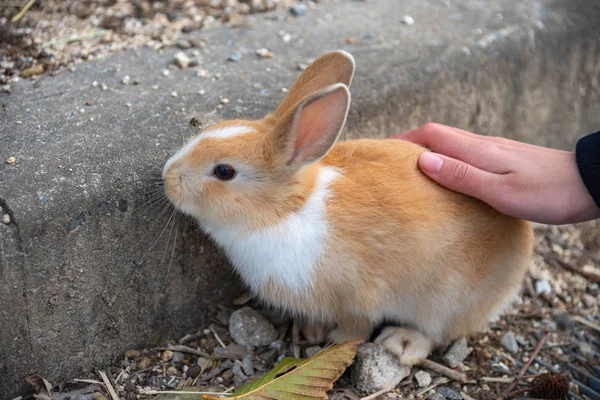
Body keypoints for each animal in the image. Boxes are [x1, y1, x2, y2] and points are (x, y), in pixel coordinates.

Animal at [162, 50, 532, 366]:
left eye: (224, 171)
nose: (167, 177)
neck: (286, 211)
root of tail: (522, 241)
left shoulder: (358, 295)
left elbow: (357, 327)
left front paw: (336, 341)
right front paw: (312, 330)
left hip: (444, 298)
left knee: (437, 331)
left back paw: (401, 343)